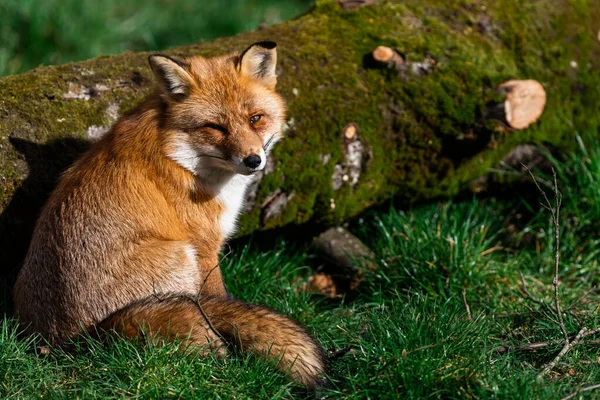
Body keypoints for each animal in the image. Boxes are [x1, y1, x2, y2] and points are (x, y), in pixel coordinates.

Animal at [11, 42, 326, 386]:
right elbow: (220, 296)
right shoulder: (204, 246)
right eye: (215, 127)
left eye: (255, 119)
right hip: (180, 255)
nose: (253, 160)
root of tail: (73, 343)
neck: (179, 153)